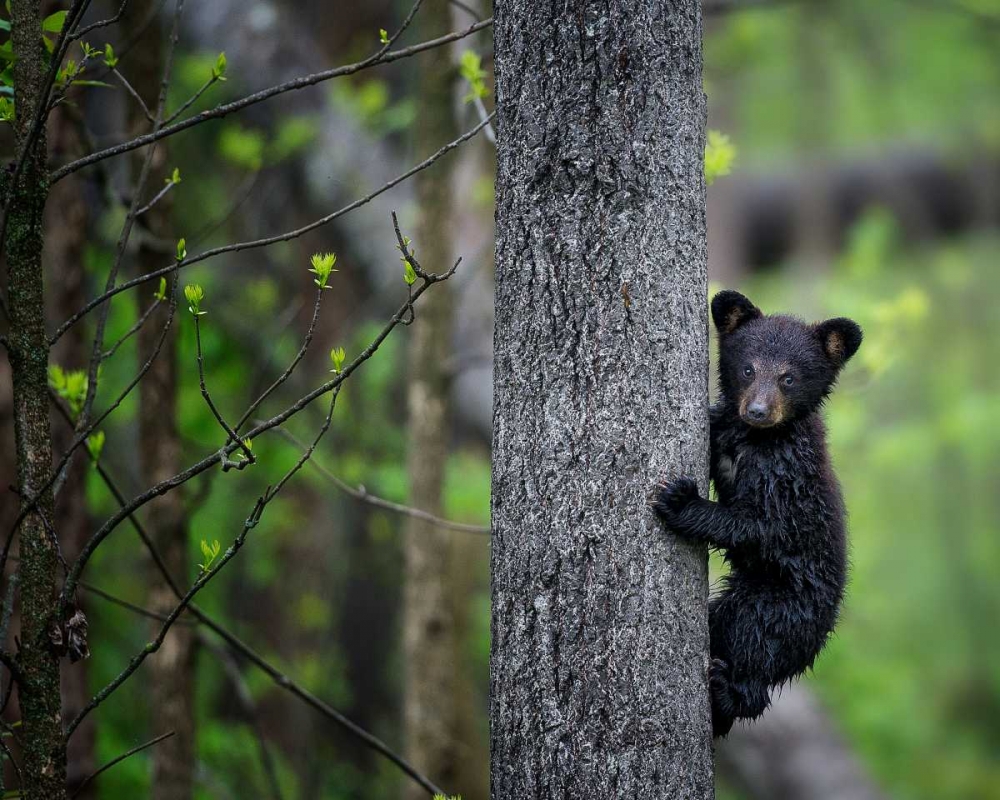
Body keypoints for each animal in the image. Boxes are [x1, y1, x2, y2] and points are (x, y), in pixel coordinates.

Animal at [652, 289, 862, 738]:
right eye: (748, 369)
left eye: (788, 377)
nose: (759, 410)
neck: (757, 439)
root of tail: (824, 632)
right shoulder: (724, 430)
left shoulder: (789, 479)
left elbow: (758, 524)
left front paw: (680, 501)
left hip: (776, 602)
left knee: (754, 648)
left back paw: (725, 691)